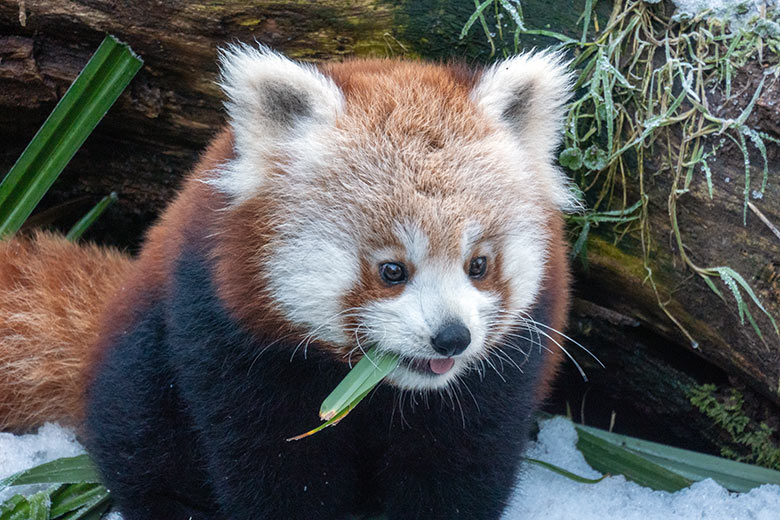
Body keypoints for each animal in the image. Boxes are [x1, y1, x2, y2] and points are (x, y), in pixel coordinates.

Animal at [0, 46, 576, 516]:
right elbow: (272, 466)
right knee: (141, 442)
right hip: (145, 356)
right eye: (392, 270)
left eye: (478, 265)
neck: (384, 391)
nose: (451, 337)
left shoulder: (499, 377)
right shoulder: (229, 339)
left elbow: (460, 463)